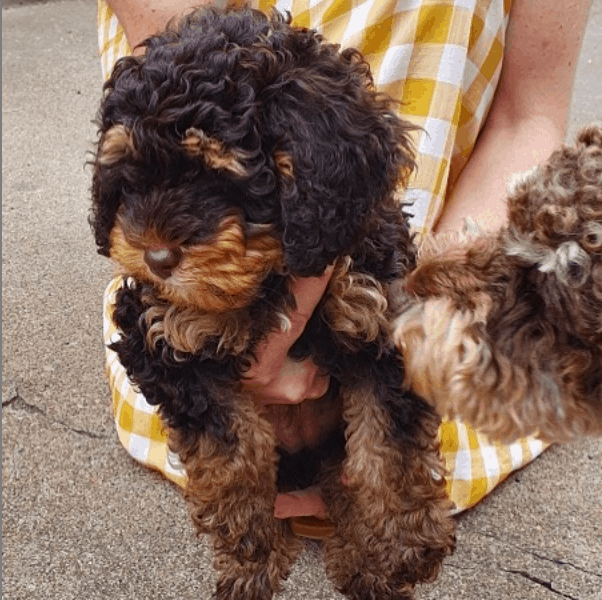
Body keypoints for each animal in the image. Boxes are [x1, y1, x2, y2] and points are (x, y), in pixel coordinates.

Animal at [90, 5, 454, 600]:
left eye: (219, 176)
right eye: (131, 179)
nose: (157, 258)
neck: (271, 276)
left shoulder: (380, 319)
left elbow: (388, 448)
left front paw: (400, 549)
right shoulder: (164, 339)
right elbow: (235, 454)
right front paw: (251, 555)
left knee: (344, 474)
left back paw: (359, 561)